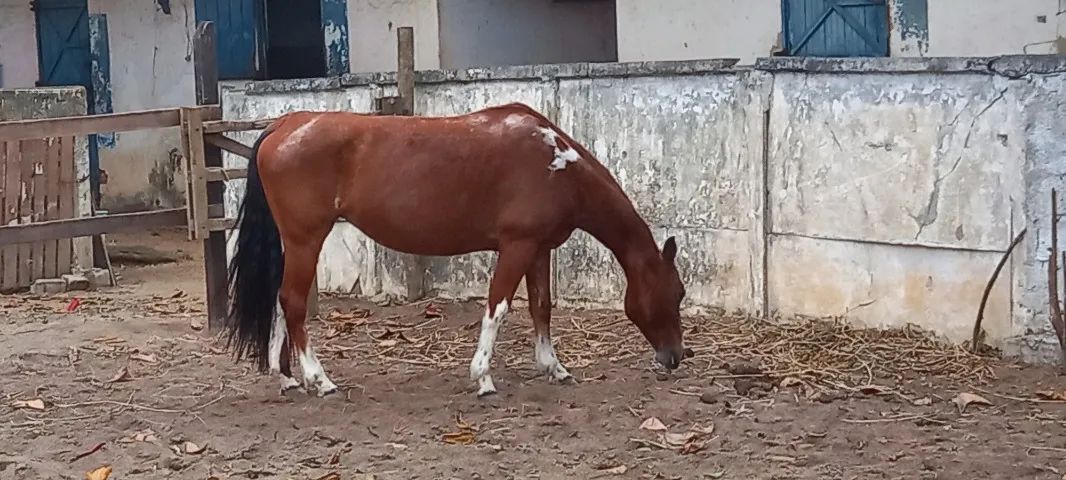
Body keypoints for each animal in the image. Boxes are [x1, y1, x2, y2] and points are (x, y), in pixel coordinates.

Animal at [224, 102, 690, 398]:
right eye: (676, 293)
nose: (675, 358)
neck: (556, 164)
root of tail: (285, 125)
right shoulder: (517, 246)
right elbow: (498, 307)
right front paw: (482, 377)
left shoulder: (538, 250)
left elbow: (541, 306)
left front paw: (554, 367)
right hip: (306, 239)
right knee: (293, 302)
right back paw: (319, 379)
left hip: (293, 243)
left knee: (281, 302)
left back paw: (285, 377)